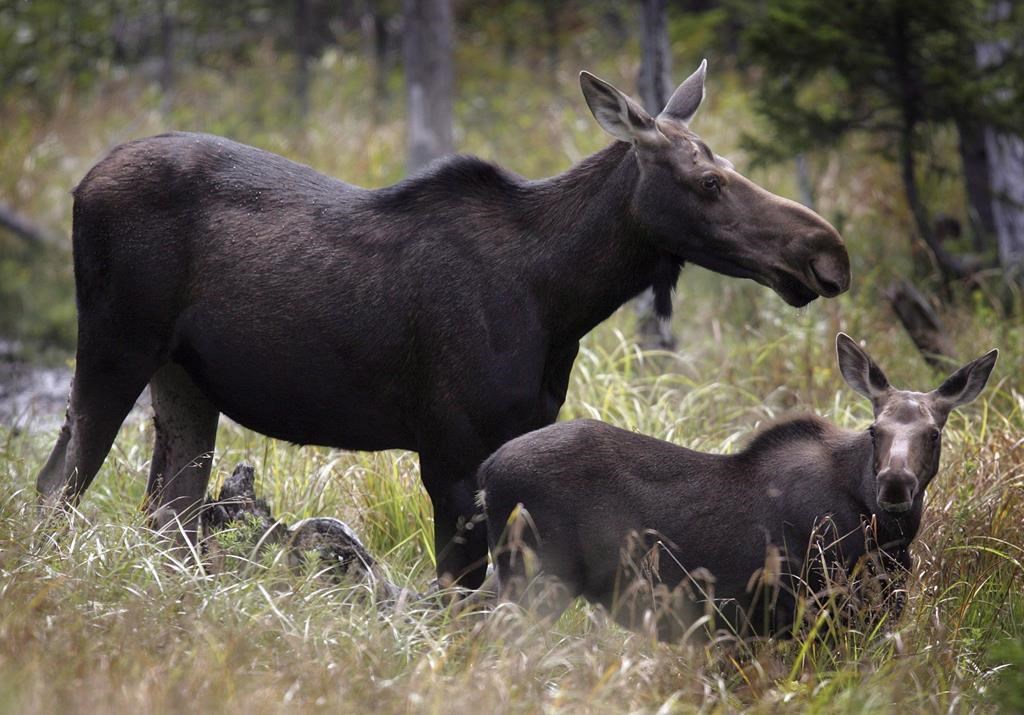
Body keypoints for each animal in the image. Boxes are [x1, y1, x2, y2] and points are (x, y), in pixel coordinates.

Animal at [36, 59, 847, 585]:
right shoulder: (451, 451)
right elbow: (460, 597)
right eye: (709, 182)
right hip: (113, 346)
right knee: (56, 485)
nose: (827, 252)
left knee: (166, 515)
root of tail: (79, 183)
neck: (560, 299)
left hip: (184, 380)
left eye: (730, 165)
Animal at [481, 331, 999, 639]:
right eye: (876, 430)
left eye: (934, 433)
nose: (894, 484)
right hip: (536, 577)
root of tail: (486, 473)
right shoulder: (818, 609)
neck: (890, 538)